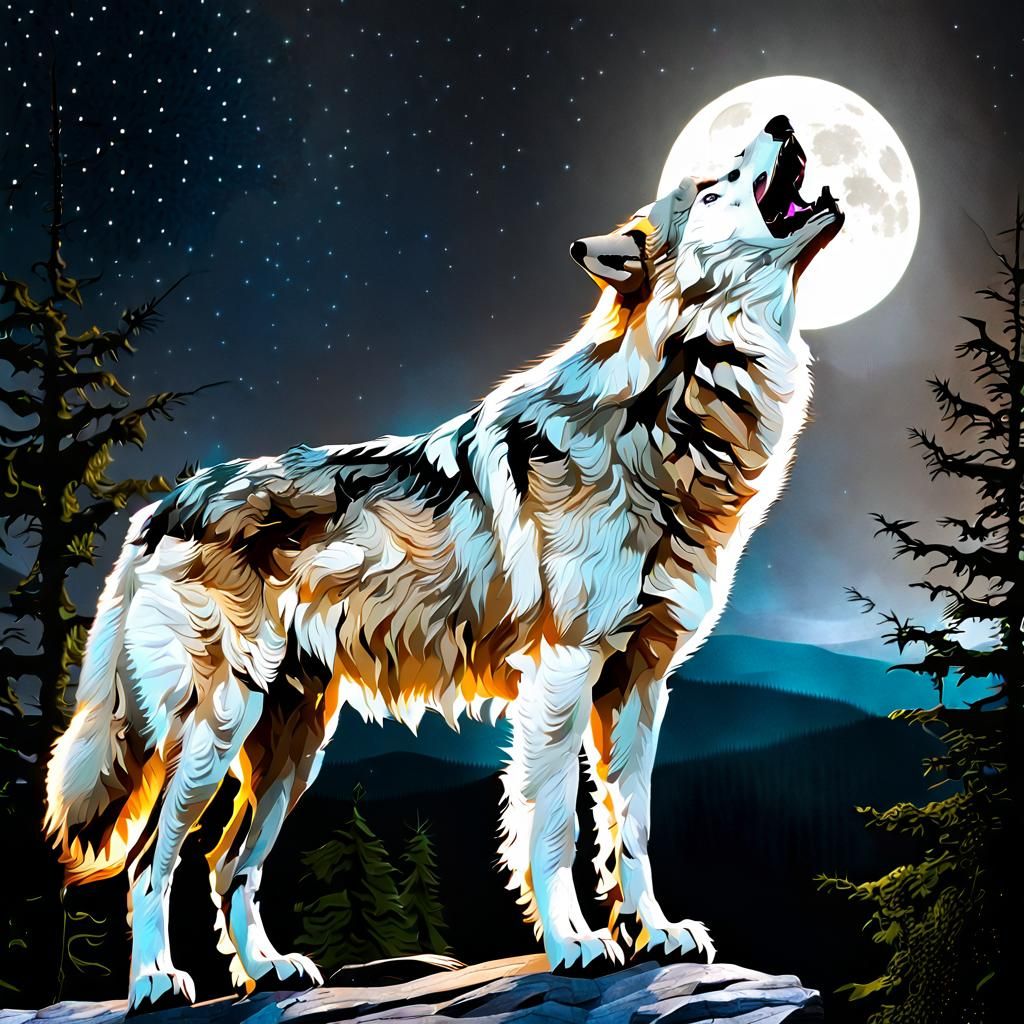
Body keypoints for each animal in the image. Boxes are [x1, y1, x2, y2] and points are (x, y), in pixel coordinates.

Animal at [45, 114, 842, 1012]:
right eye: (713, 184)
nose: (781, 118)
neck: (672, 409)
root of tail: (157, 510)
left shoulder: (642, 684)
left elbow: (631, 830)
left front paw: (657, 933)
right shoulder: (562, 674)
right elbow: (556, 826)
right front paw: (576, 944)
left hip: (294, 746)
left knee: (227, 865)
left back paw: (267, 971)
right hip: (217, 727)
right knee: (153, 859)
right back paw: (155, 981)